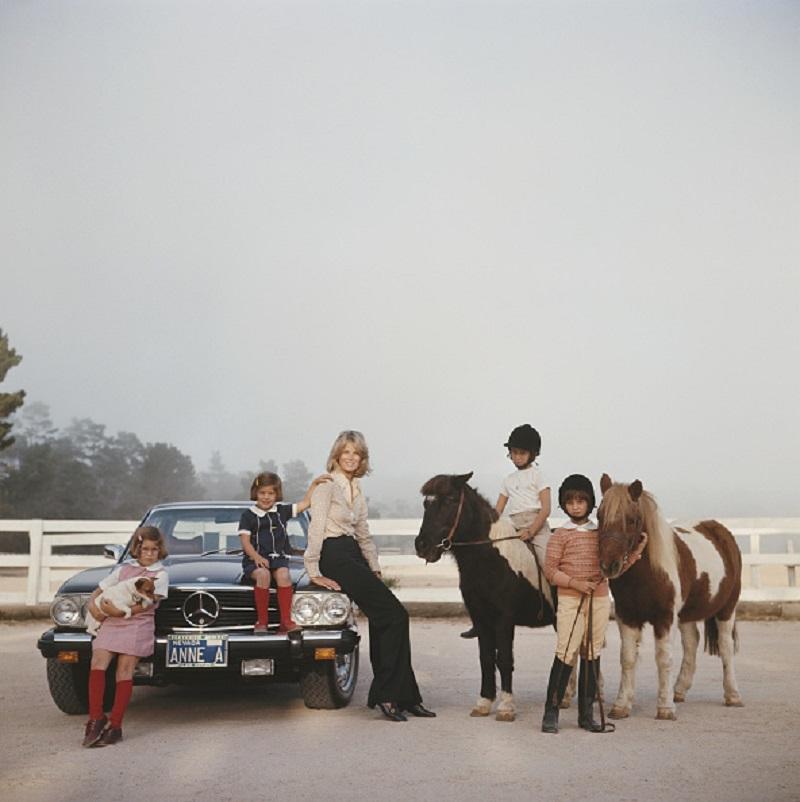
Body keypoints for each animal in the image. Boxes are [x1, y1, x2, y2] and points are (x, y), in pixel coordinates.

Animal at [416, 468, 552, 720]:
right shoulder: (481, 618)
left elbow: (504, 659)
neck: (490, 559)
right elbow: (486, 659)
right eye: (426, 503)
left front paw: (506, 707)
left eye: (450, 500)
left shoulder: (504, 618)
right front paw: (484, 702)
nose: (422, 545)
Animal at [600, 476, 744, 720]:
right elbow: (627, 658)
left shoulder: (665, 617)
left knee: (726, 647)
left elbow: (663, 659)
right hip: (686, 614)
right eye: (599, 515)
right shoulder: (626, 617)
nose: (608, 565)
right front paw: (621, 706)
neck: (647, 574)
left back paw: (732, 695)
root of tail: (720, 530)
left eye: (631, 520)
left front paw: (665, 708)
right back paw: (679, 690)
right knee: (692, 641)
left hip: (727, 608)